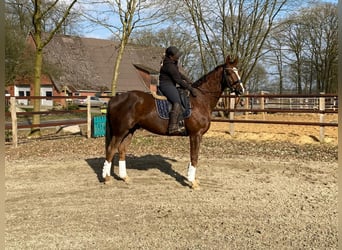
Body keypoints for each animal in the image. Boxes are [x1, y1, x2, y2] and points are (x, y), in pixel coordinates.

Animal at [101, 54, 243, 188]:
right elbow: (194, 157)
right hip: (120, 131)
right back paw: (107, 178)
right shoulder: (195, 134)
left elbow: (193, 156)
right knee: (111, 149)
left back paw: (124, 177)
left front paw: (191, 178)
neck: (200, 99)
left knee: (122, 150)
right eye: (229, 72)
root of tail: (114, 99)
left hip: (130, 130)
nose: (241, 90)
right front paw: (192, 182)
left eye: (237, 71)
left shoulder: (197, 135)